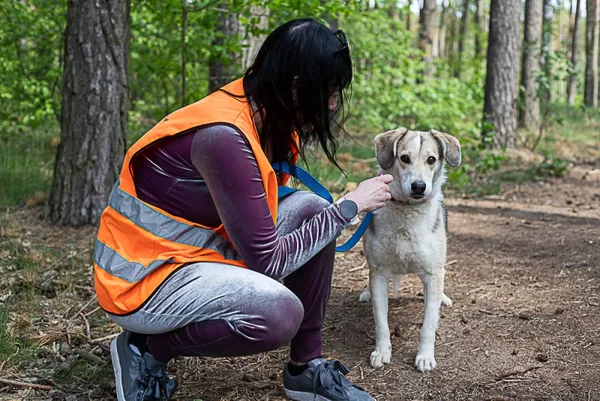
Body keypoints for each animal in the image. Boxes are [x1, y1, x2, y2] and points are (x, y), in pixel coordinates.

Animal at [358, 127, 462, 372]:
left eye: (431, 160)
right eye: (404, 158)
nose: (418, 186)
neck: (407, 210)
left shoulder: (433, 274)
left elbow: (428, 325)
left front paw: (425, 356)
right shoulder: (378, 273)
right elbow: (381, 321)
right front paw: (382, 351)